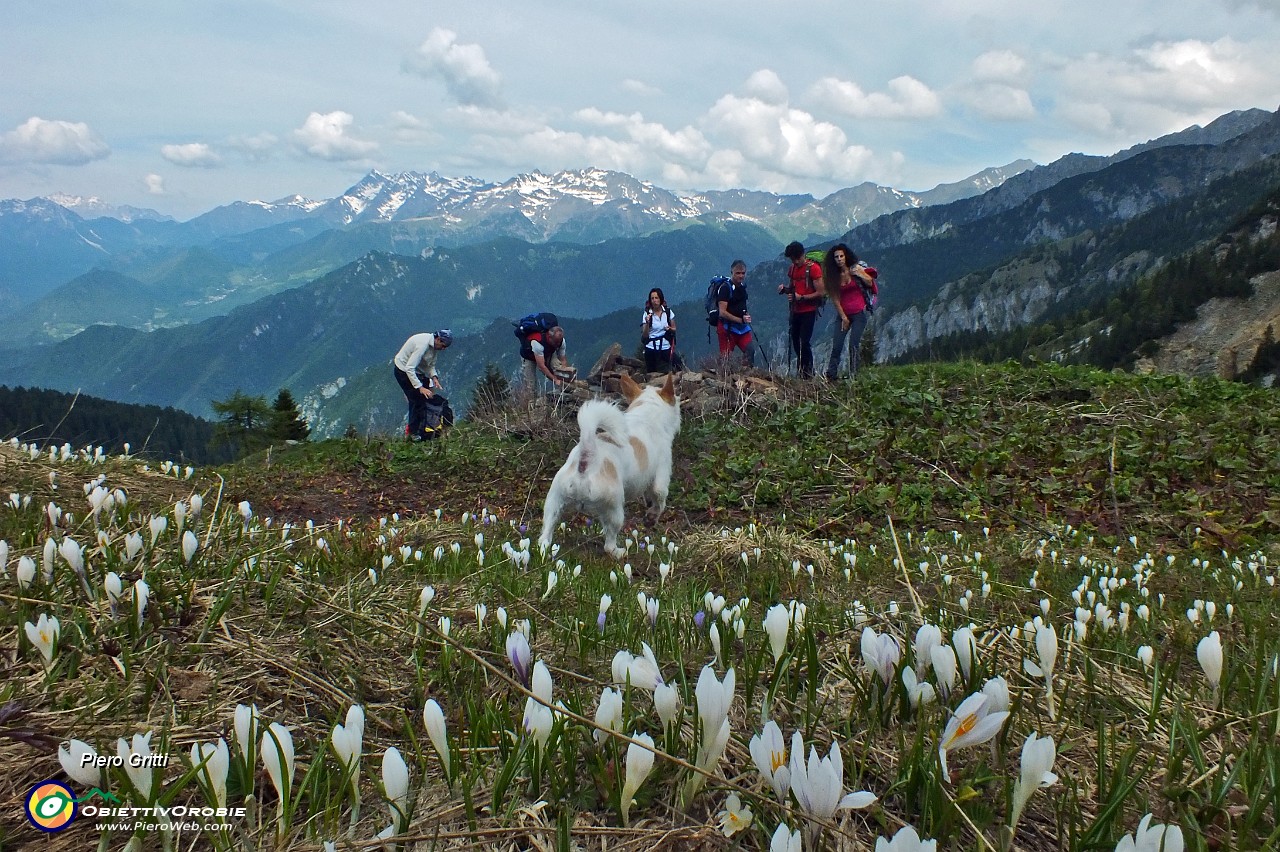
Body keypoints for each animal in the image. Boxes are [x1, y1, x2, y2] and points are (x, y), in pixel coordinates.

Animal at [540, 373, 680, 557]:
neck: (646, 413)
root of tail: (587, 455)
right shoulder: (661, 478)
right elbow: (660, 501)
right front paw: (651, 518)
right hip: (613, 509)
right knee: (609, 542)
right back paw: (619, 552)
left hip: (554, 502)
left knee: (545, 536)